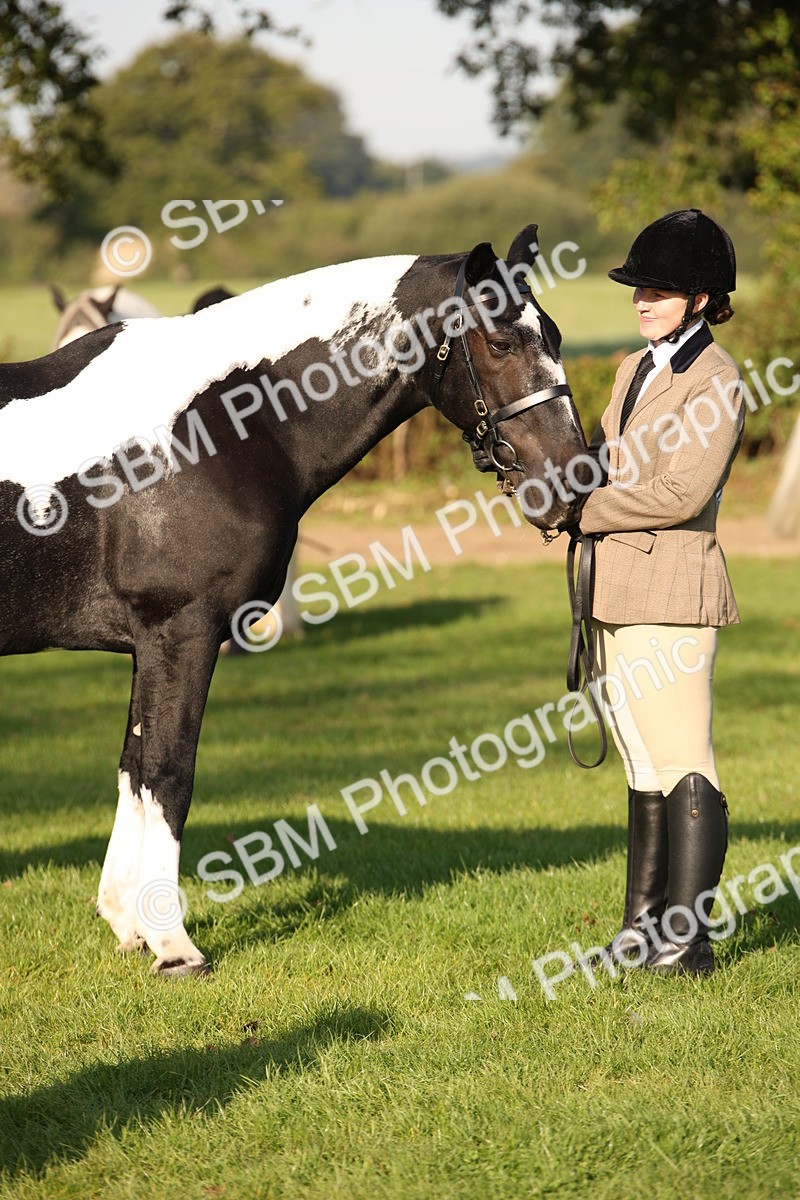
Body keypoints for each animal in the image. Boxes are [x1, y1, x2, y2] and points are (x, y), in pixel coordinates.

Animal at [1, 225, 588, 976]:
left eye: (555, 334)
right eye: (502, 343)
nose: (575, 482)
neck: (212, 423)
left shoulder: (148, 644)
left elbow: (134, 769)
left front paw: (128, 922)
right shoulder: (181, 634)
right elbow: (169, 773)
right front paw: (174, 946)